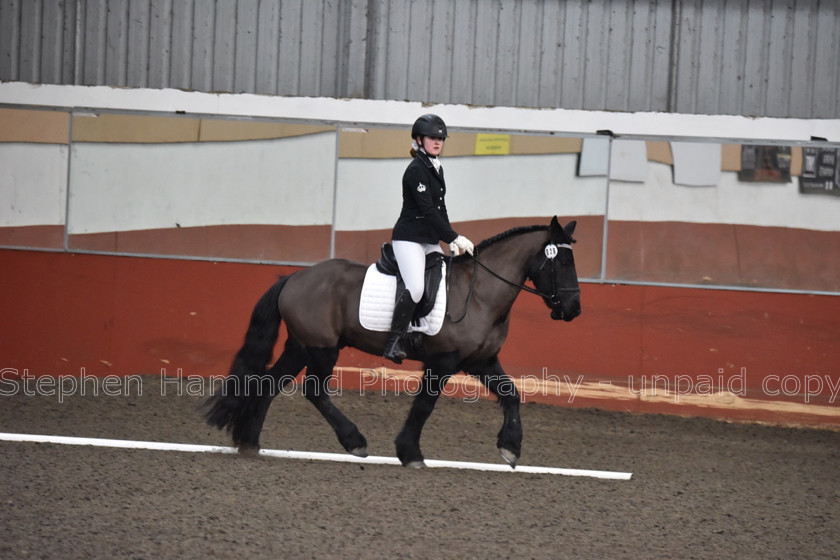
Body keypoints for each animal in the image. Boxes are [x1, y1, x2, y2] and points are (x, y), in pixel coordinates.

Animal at [207, 217, 580, 466]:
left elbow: (511, 395)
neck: (479, 295)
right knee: (314, 391)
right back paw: (354, 441)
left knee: (269, 384)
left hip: (300, 346)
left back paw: (250, 442)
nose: (573, 309)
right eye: (561, 261)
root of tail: (295, 277)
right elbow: (424, 406)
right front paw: (409, 452)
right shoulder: (443, 361)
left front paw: (511, 448)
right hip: (322, 348)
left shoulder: (481, 361)